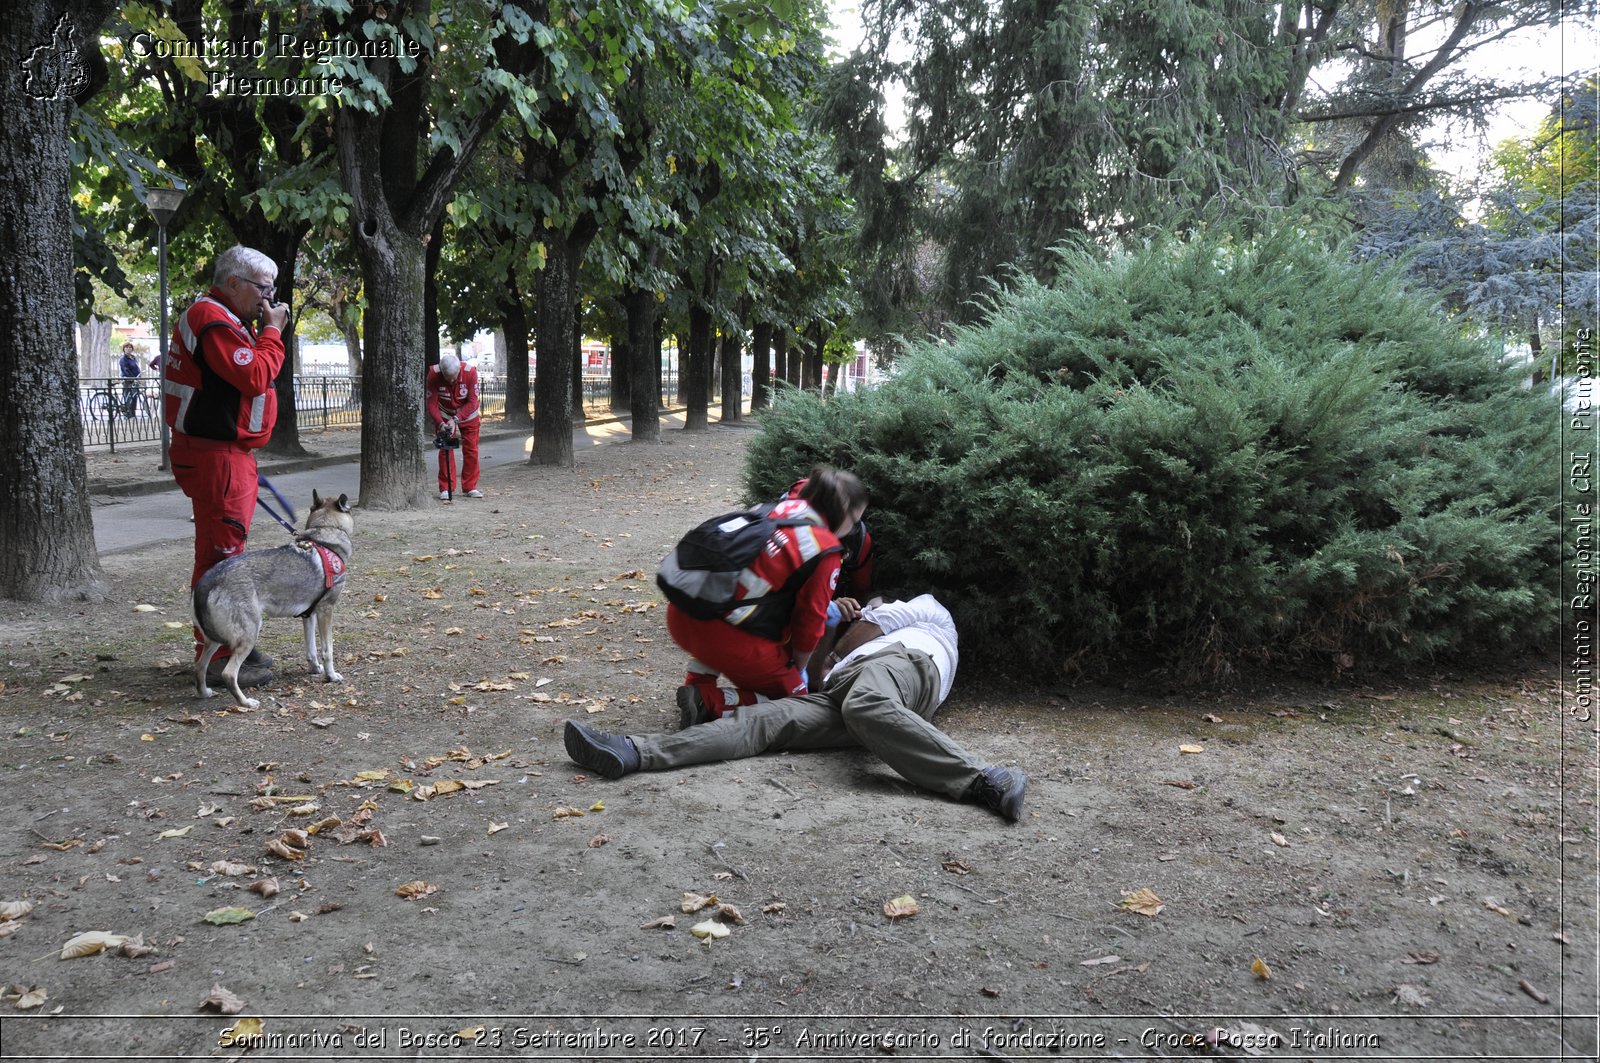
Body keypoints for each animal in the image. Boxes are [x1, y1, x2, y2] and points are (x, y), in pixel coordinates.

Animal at [195, 486, 355, 704]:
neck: (325, 535)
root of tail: (209, 580)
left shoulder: (309, 615)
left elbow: (311, 650)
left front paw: (315, 669)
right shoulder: (326, 610)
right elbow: (327, 650)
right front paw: (331, 676)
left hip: (213, 641)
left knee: (200, 666)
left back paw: (204, 693)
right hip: (249, 634)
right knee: (228, 674)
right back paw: (246, 703)